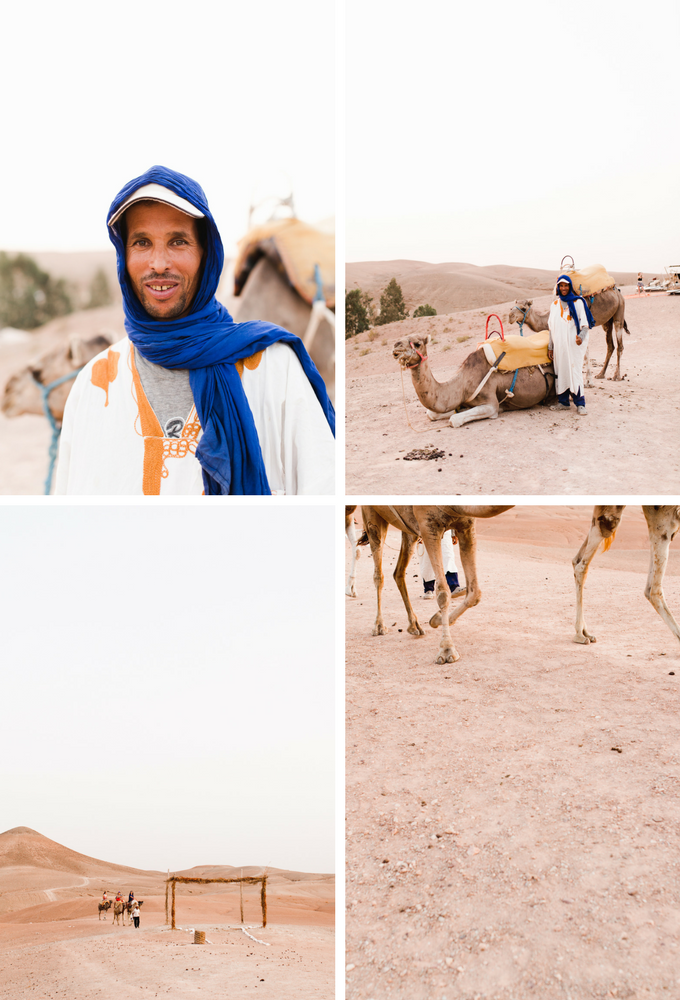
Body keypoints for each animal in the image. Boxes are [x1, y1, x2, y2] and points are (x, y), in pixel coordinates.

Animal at [350, 508, 680, 664]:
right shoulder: (430, 520)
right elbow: (447, 591)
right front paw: (446, 650)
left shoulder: (460, 522)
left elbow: (476, 592)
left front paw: (436, 623)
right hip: (374, 518)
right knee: (380, 572)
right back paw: (380, 625)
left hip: (406, 528)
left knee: (398, 572)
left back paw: (416, 625)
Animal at [390, 332, 556, 426]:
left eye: (417, 344)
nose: (396, 346)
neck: (462, 383)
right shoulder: (458, 401)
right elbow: (431, 414)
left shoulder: (491, 404)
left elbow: (454, 420)